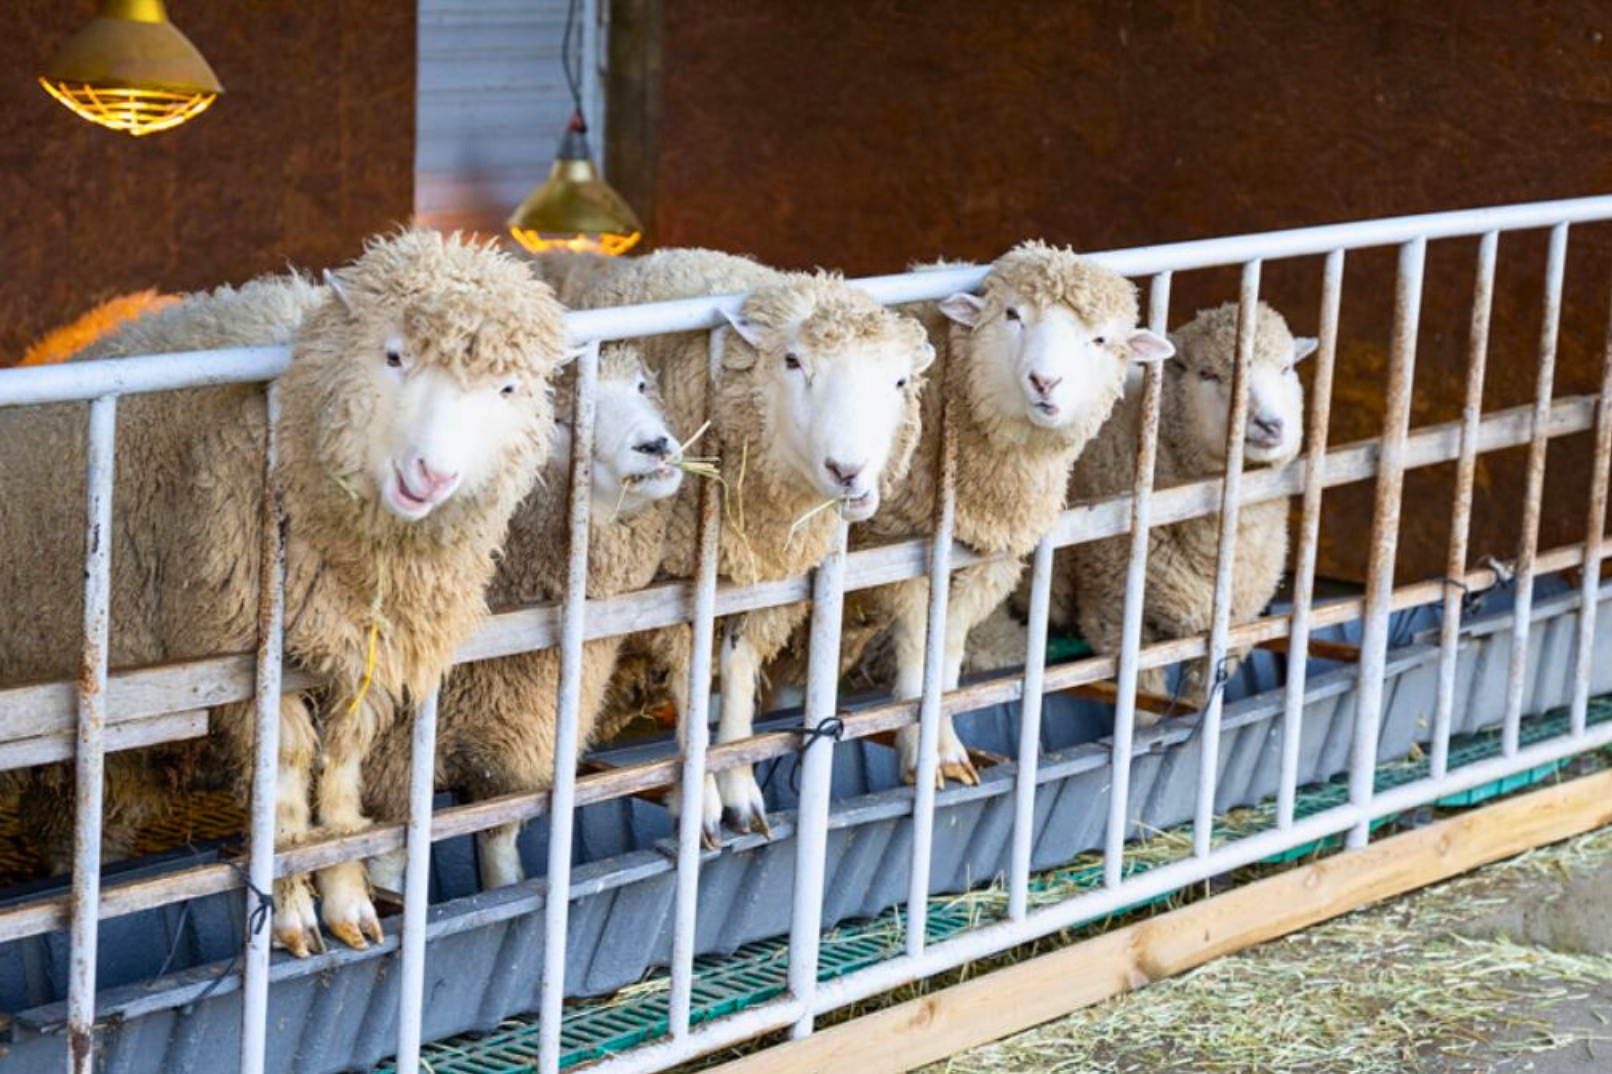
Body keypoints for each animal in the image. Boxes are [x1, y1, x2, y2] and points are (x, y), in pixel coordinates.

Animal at [0, 232, 573, 954]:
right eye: (393, 356)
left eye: (506, 388)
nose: (431, 475)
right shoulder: (241, 658)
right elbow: (286, 768)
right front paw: (296, 912)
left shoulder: (366, 654)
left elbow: (343, 765)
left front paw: (350, 900)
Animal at [362, 343, 683, 883]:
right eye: (558, 421)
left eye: (641, 385)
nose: (655, 445)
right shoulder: (389, 776)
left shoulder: (512, 760)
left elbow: (502, 864)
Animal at [580, 246, 941, 832]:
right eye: (793, 362)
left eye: (900, 383)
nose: (848, 472)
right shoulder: (676, 591)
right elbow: (690, 681)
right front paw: (701, 801)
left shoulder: (768, 590)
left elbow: (739, 673)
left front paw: (738, 786)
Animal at [770, 241, 1167, 783]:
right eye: (1013, 315)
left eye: (1100, 339)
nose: (1044, 381)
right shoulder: (900, 551)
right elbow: (918, 647)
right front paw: (923, 754)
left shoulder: (988, 562)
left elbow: (949, 651)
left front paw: (945, 746)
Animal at [1051, 298, 1315, 709]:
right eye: (1207, 373)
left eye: (1286, 368)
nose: (1271, 425)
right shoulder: (1112, 609)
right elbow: (1143, 705)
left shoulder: (1233, 625)